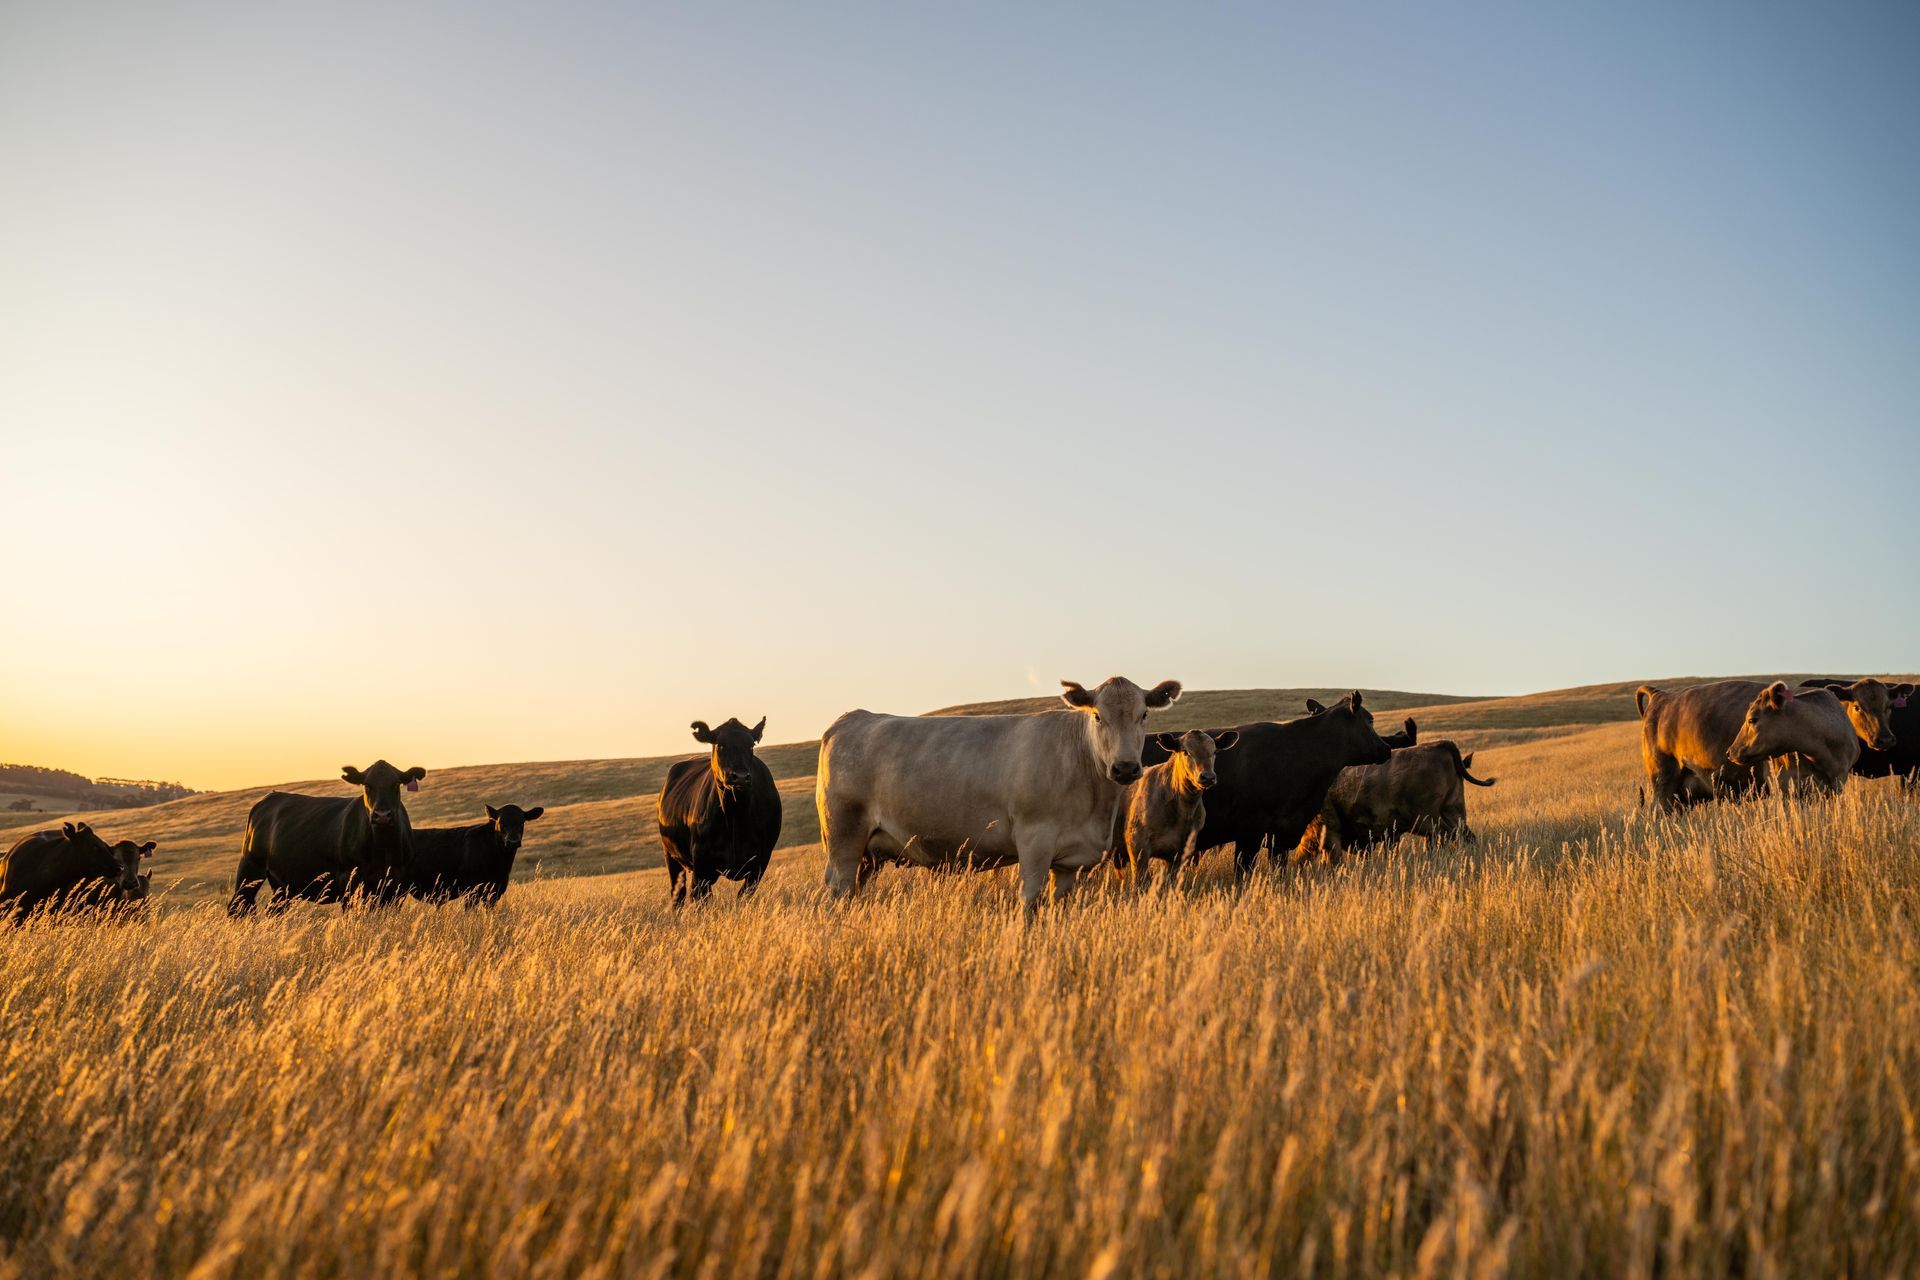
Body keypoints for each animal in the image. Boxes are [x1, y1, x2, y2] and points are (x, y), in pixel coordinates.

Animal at [229, 760, 428, 916]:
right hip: (250, 866)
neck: (383, 849)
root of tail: (270, 796)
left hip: (283, 885)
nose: (382, 815)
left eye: (396, 784)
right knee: (239, 906)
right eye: (367, 785)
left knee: (273, 909)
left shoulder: (397, 886)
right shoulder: (348, 881)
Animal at [657, 717, 782, 906]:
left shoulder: (760, 862)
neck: (735, 814)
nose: (739, 776)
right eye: (720, 745)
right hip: (671, 856)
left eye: (751, 745)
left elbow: (743, 897)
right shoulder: (701, 864)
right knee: (678, 896)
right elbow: (700, 900)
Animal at [817, 676, 1183, 915]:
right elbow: (1030, 903)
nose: (1125, 768)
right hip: (844, 836)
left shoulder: (1071, 862)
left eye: (1143, 714)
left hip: (867, 853)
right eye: (1097, 716)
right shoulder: (1035, 840)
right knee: (839, 889)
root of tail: (852, 717)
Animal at [1115, 729, 1239, 888]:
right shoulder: (1137, 845)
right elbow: (1141, 882)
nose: (1208, 777)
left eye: (1214, 751)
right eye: (1186, 752)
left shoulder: (1181, 852)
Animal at [1137, 691, 1394, 883]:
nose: (1386, 749)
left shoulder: (1281, 834)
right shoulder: (1250, 830)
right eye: (1370, 719)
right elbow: (1242, 871)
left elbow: (1278, 869)